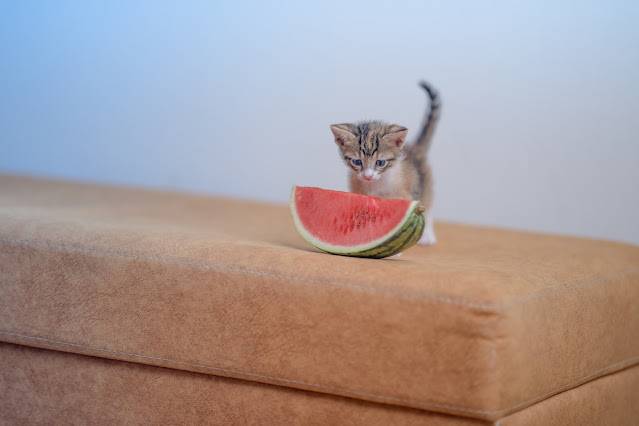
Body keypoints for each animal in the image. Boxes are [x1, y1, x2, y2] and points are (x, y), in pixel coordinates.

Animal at [330, 81, 440, 245]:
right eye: (357, 161)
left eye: (380, 163)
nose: (368, 176)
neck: (375, 186)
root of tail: (416, 148)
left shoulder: (403, 195)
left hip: (425, 182)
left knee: (429, 203)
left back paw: (427, 235)